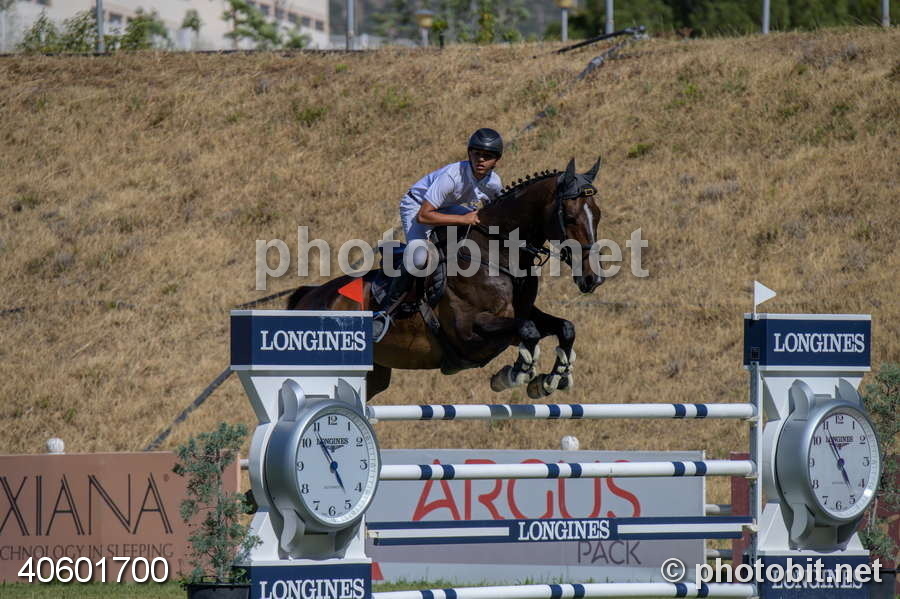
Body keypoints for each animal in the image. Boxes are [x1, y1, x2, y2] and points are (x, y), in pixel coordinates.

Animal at [287, 157, 604, 401]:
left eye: (598, 215)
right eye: (571, 217)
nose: (593, 279)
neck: (497, 254)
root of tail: (309, 295)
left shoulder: (523, 313)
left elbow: (563, 328)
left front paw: (552, 379)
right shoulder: (469, 331)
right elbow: (528, 330)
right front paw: (514, 374)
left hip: (373, 375)